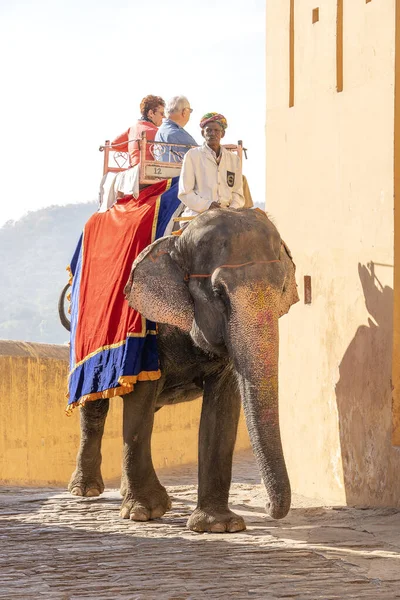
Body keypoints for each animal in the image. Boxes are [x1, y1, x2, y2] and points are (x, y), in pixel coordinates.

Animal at [67, 209, 298, 532]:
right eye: (218, 292)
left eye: (282, 288)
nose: (266, 506)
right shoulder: (144, 333)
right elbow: (139, 402)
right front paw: (144, 512)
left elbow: (222, 408)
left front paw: (218, 526)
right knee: (95, 405)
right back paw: (86, 490)